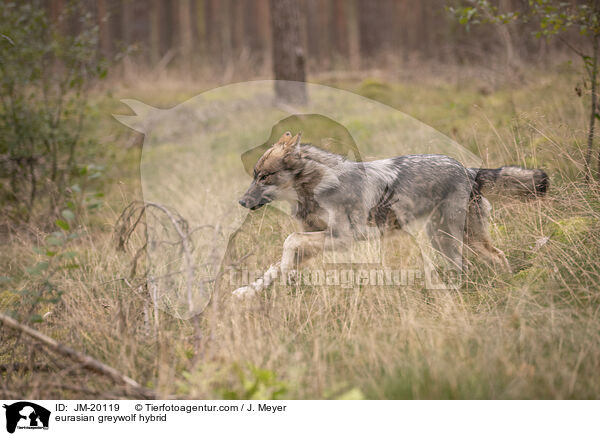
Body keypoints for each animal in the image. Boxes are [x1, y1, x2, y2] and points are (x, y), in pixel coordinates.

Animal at [233, 133, 548, 296]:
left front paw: (286, 277)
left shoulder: (341, 238)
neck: (317, 187)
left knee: (478, 263)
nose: (241, 202)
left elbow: (288, 243)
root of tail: (467, 169)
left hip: (445, 237)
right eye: (254, 176)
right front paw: (249, 291)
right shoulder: (316, 238)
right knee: (489, 259)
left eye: (264, 177)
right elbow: (273, 266)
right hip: (453, 239)